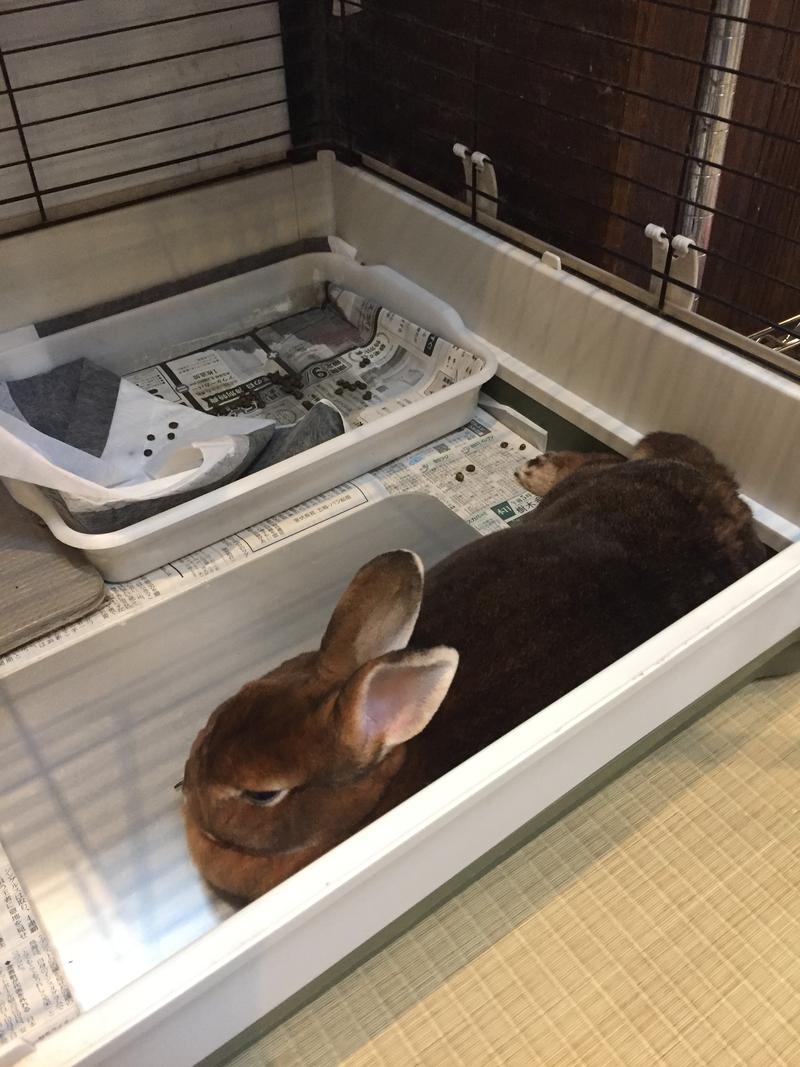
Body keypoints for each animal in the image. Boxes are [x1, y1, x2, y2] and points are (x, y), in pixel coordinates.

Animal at [181, 428, 763, 896]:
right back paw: (536, 469)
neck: (391, 767)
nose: (188, 791)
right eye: (220, 714)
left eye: (263, 794)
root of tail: (726, 495)